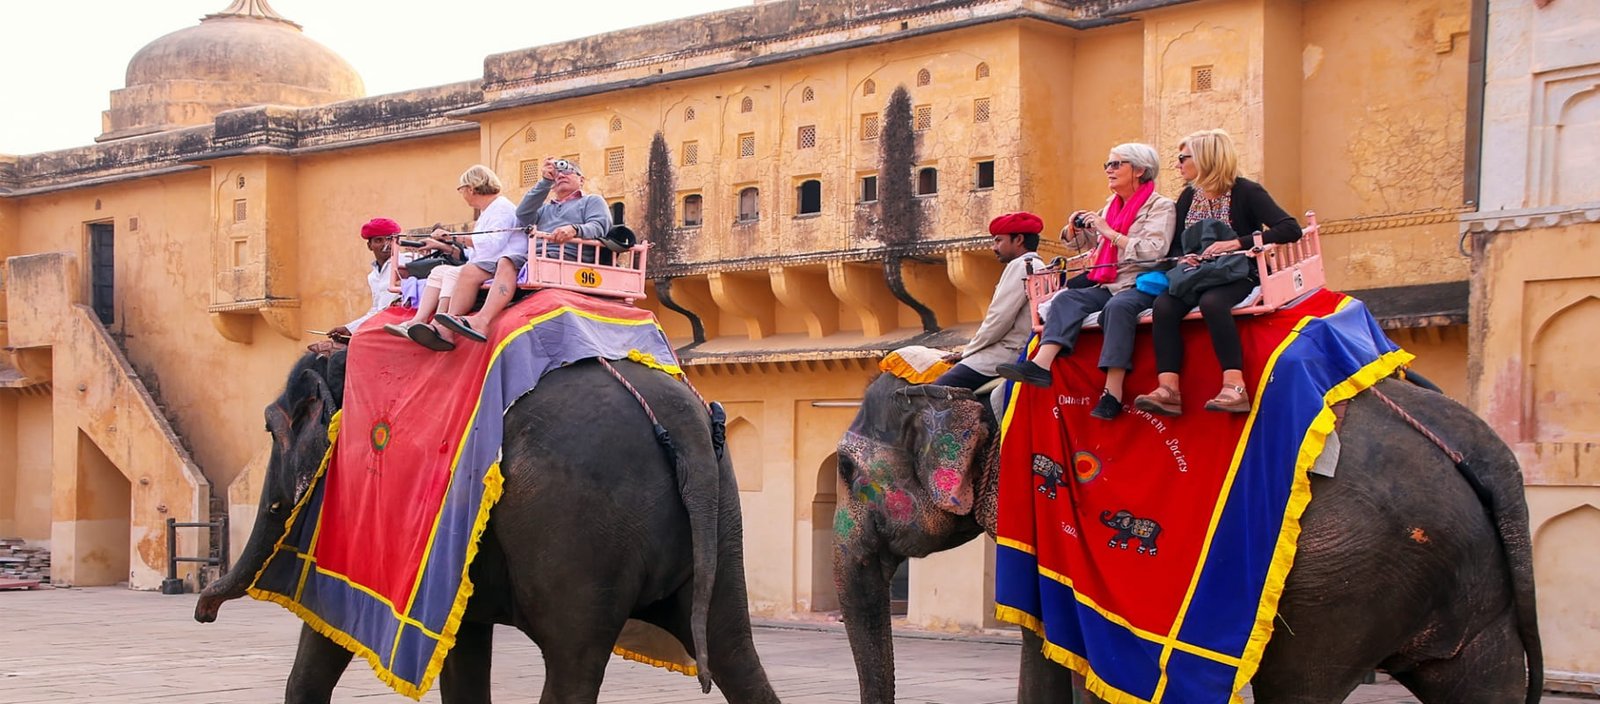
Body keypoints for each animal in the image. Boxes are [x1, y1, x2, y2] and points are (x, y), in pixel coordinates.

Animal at [195, 349, 781, 704]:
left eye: (269, 427)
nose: (203, 612)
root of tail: (682, 425)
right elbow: (463, 648)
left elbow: (326, 621)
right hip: (722, 515)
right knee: (734, 650)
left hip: (577, 531)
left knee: (572, 663)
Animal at [834, 374, 1542, 704]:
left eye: (842, 469)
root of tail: (1482, 452)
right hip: (1468, 579)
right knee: (1479, 680)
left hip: (1346, 580)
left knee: (1300, 687)